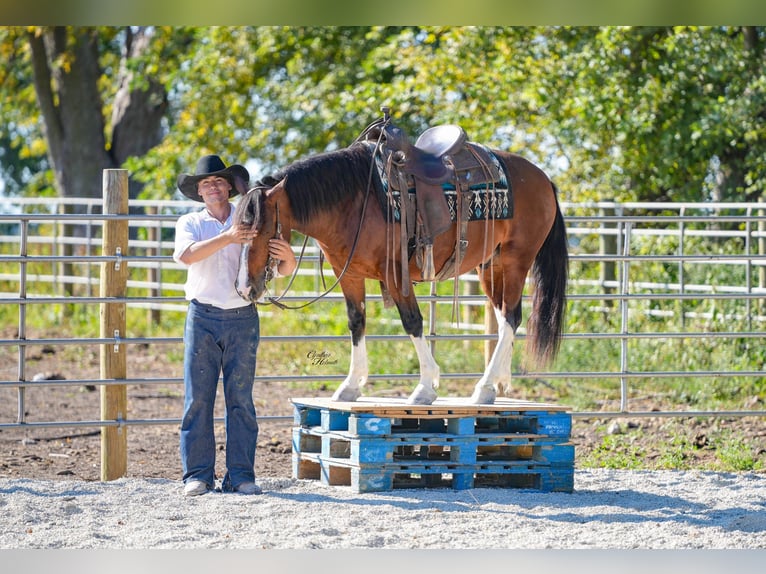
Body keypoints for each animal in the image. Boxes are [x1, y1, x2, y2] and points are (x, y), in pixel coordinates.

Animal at [233, 119, 568, 405]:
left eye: (263, 229)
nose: (244, 288)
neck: (354, 200)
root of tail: (543, 178)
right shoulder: (349, 274)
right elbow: (357, 322)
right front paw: (350, 386)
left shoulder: (395, 274)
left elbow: (412, 322)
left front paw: (425, 388)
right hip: (490, 266)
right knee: (503, 319)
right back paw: (498, 383)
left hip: (516, 261)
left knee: (511, 317)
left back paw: (484, 388)